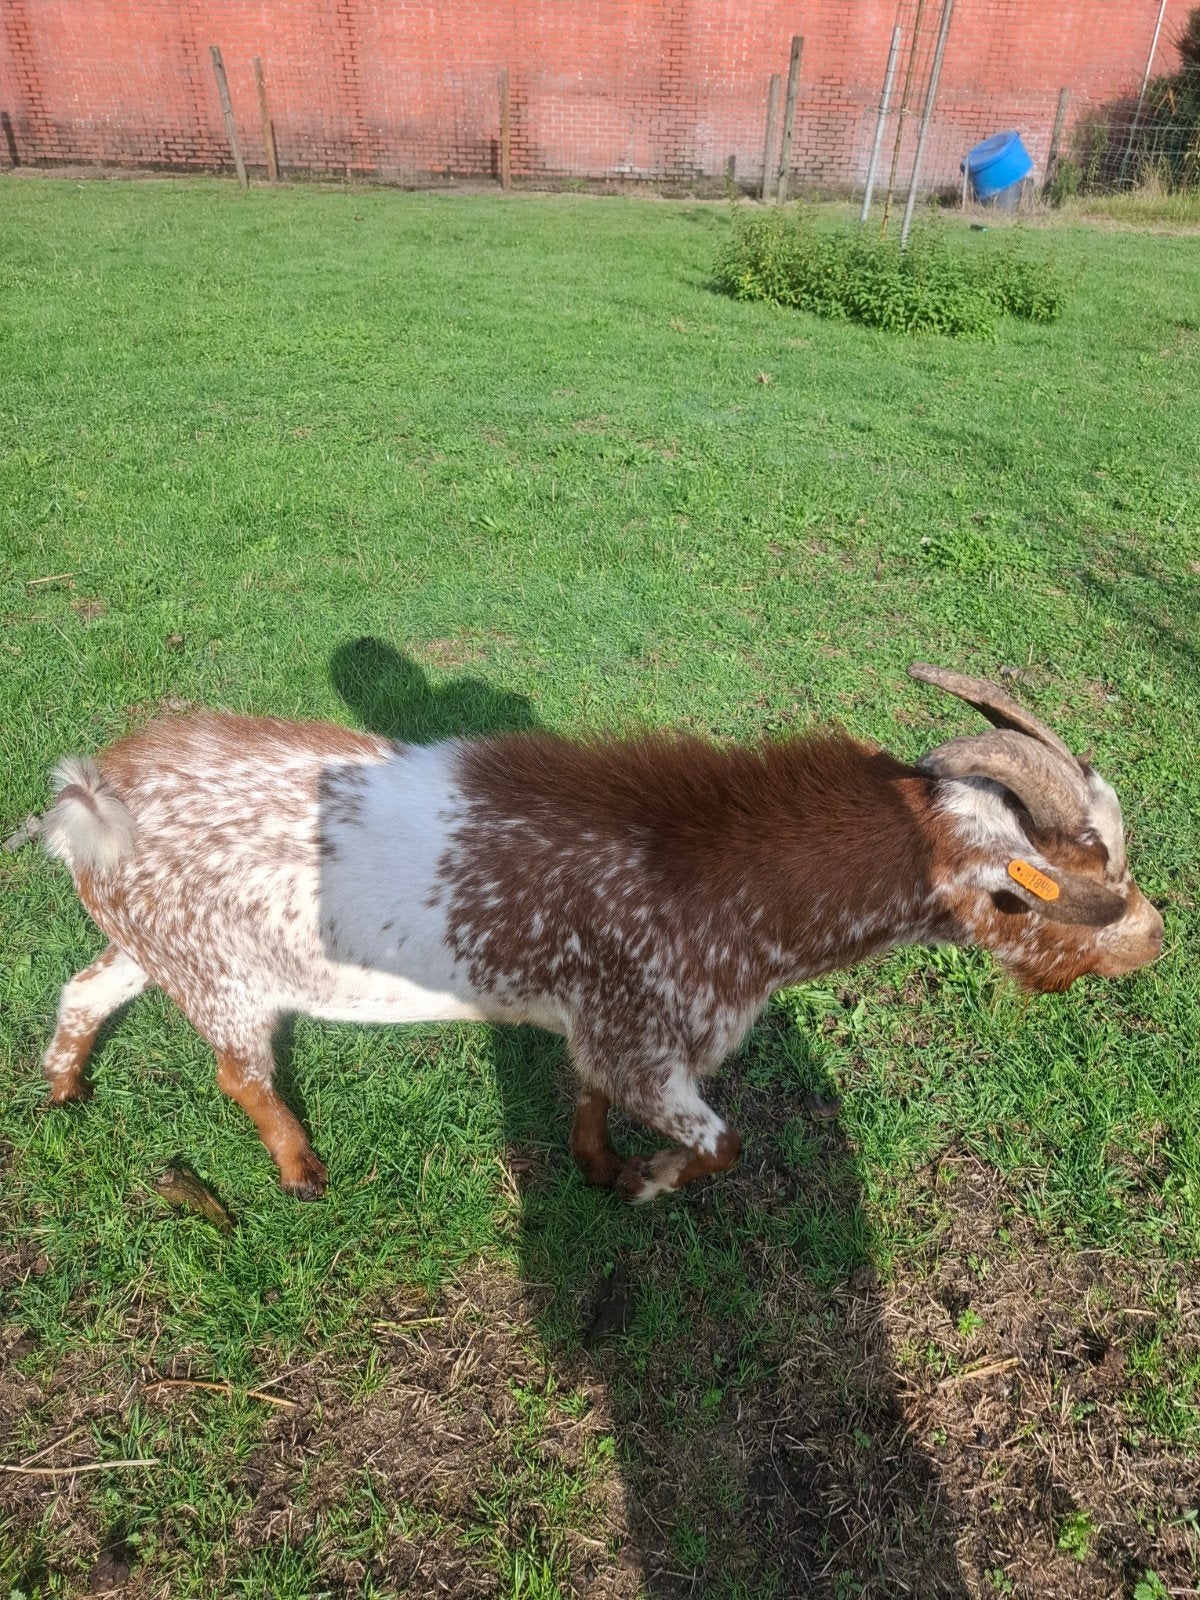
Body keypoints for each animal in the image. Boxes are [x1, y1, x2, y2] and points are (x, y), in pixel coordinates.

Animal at [38, 663, 1163, 1203]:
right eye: (1049, 890)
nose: (1153, 937)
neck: (735, 880)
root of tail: (89, 800)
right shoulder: (650, 1045)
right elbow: (721, 1143)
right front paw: (652, 1186)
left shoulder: (607, 1025)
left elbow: (584, 1098)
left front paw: (599, 1170)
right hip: (224, 981)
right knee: (239, 1073)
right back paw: (300, 1171)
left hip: (158, 948)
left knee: (83, 988)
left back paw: (62, 1089)